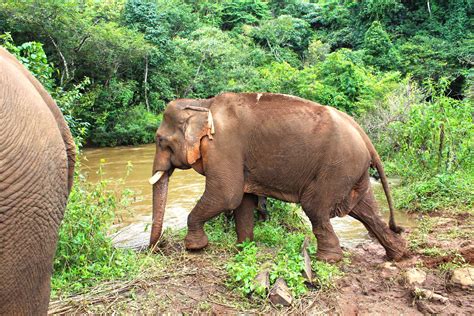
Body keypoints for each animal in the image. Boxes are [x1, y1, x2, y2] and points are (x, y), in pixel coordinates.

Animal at [149, 93, 408, 262]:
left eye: (160, 140)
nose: (155, 249)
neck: (203, 104)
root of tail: (364, 135)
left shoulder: (223, 146)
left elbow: (226, 195)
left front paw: (195, 247)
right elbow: (243, 201)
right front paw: (244, 248)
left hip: (337, 167)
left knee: (315, 207)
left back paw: (327, 259)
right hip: (352, 170)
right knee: (365, 209)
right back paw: (397, 254)